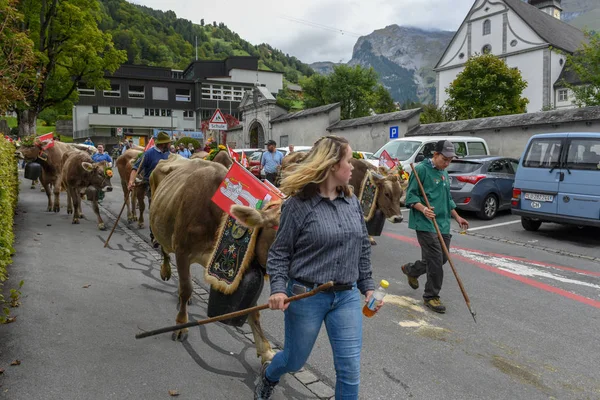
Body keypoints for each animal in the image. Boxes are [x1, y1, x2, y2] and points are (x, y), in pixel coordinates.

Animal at [150, 158, 282, 364]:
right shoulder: (182, 251)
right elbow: (186, 288)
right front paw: (181, 325)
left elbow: (253, 310)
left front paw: (266, 350)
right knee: (164, 248)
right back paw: (165, 271)